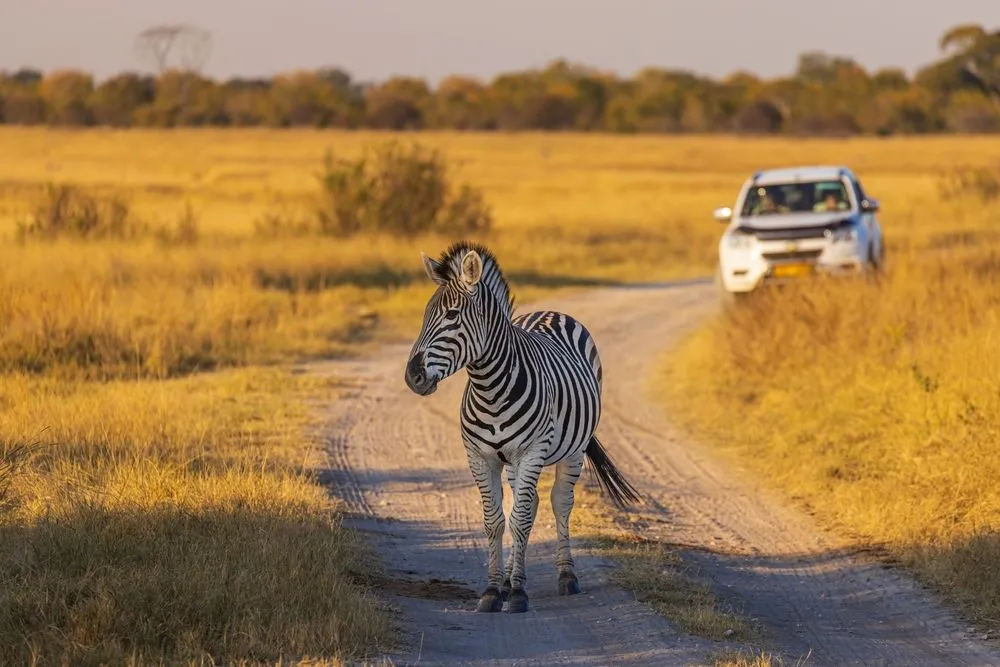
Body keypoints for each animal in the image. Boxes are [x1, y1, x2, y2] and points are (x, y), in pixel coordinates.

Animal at [403, 240, 641, 614]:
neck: (489, 388)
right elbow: (496, 520)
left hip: (571, 450)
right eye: (425, 314)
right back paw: (512, 577)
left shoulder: (531, 452)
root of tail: (550, 311)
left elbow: (521, 519)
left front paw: (516, 593)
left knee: (559, 502)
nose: (412, 377)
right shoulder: (480, 456)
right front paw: (493, 590)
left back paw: (565, 575)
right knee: (529, 504)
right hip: (515, 462)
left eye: (452, 315)